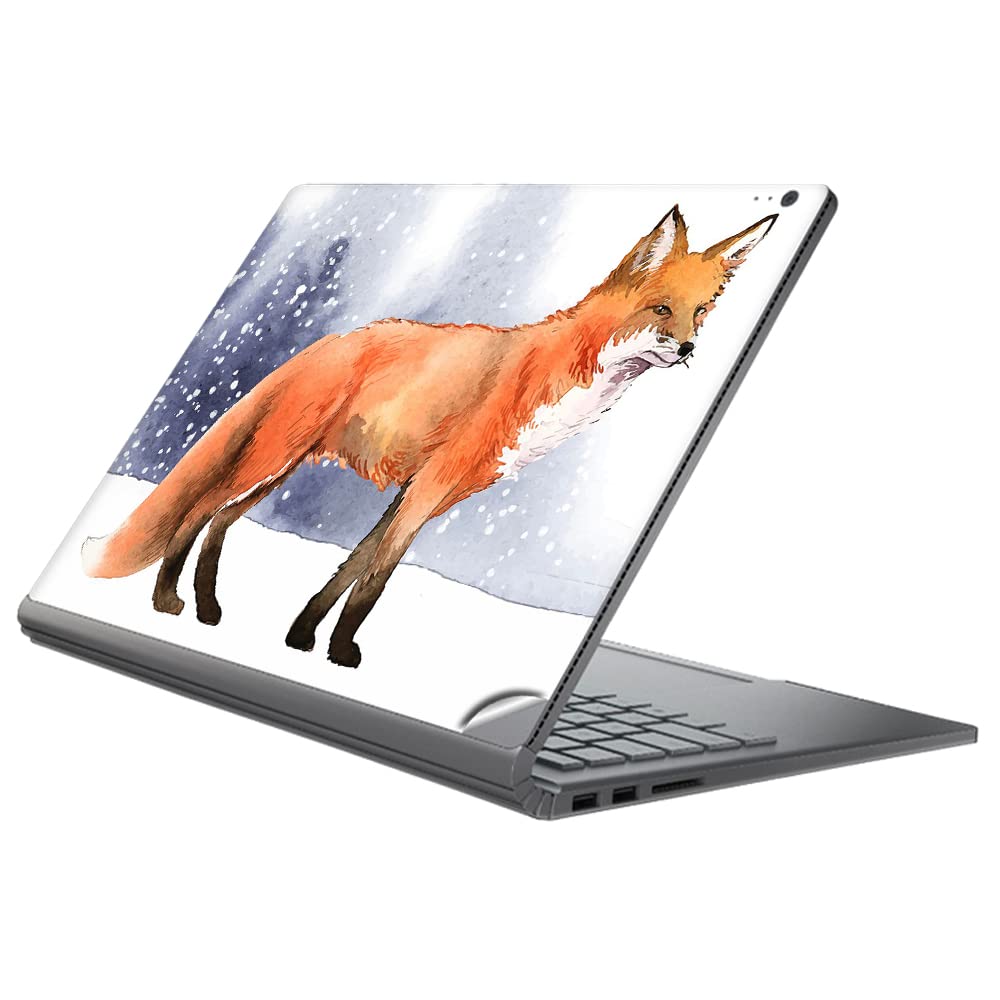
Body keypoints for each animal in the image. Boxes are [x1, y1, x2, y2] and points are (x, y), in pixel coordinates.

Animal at [82, 205, 776, 668]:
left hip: (276, 472)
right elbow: (374, 581)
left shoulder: (431, 493)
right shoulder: (428, 487)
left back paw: (206, 610)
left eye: (700, 313)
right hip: (269, 463)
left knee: (219, 521)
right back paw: (167, 603)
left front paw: (301, 639)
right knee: (196, 511)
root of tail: (327, 344)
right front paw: (339, 652)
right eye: (661, 310)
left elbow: (351, 568)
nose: (688, 349)